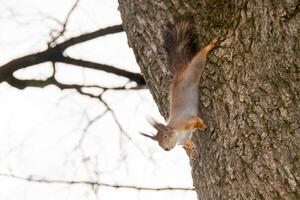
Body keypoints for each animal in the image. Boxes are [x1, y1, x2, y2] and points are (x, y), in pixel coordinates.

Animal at [139, 14, 217, 158]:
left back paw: (209, 46)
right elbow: (188, 143)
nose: (166, 149)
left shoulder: (186, 121)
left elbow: (195, 121)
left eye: (165, 136)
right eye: (159, 144)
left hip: (194, 69)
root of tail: (179, 72)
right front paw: (192, 151)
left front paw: (202, 125)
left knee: (200, 57)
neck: (177, 133)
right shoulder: (184, 140)